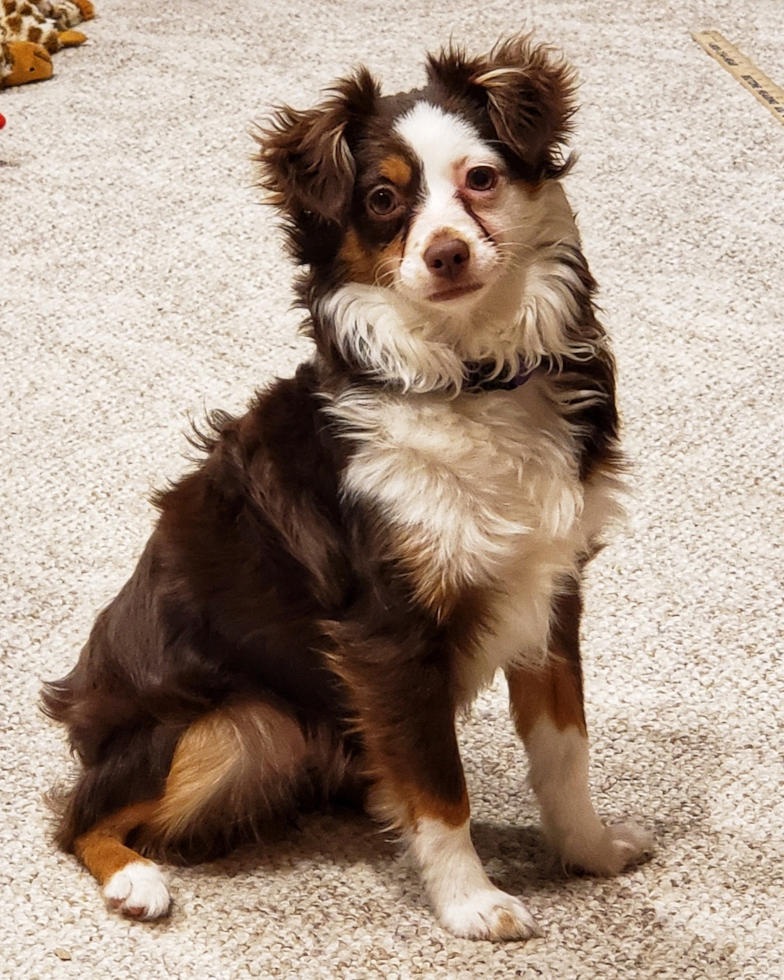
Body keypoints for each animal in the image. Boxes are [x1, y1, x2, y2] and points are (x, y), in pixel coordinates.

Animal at [44, 36, 656, 940]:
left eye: (481, 178)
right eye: (381, 199)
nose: (446, 253)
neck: (469, 376)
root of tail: (76, 707)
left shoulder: (549, 590)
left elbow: (563, 750)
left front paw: (587, 852)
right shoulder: (386, 633)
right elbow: (441, 789)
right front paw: (470, 902)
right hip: (238, 722)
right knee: (78, 816)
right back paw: (135, 880)